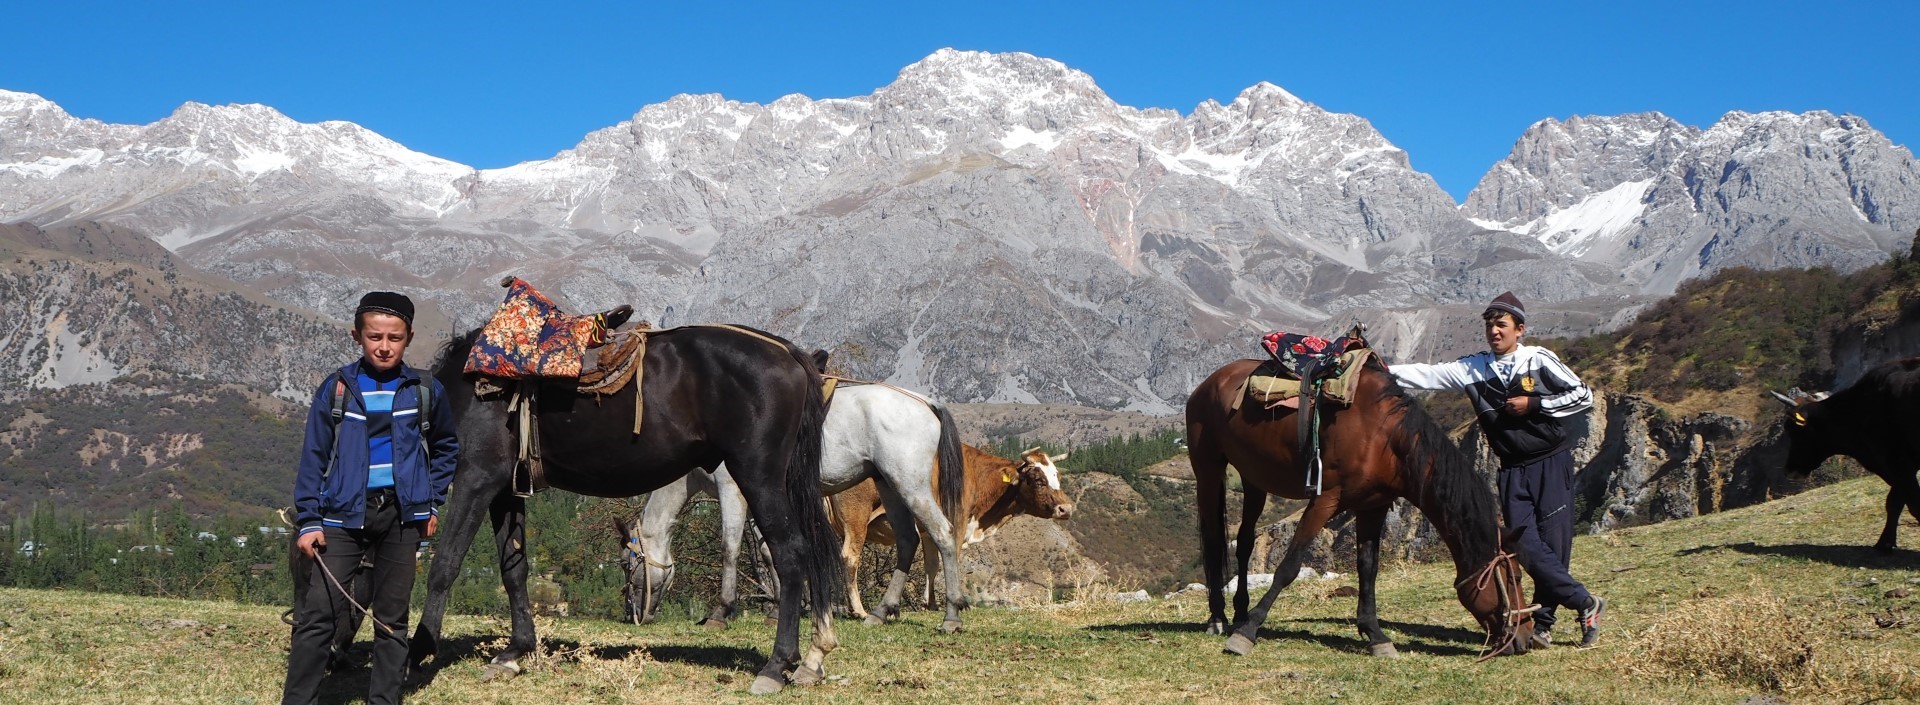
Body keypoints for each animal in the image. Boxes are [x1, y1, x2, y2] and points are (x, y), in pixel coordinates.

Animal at [412, 324, 840, 695]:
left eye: (625, 564)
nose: (634, 614)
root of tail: (786, 352)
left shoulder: (476, 478)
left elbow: (445, 564)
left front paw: (420, 648)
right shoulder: (507, 490)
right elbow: (514, 570)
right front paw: (515, 651)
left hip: (758, 476)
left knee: (790, 553)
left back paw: (777, 665)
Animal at [622, 384, 975, 633]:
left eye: (628, 564)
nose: (633, 613)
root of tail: (924, 402)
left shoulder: (731, 491)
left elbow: (730, 548)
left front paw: (722, 611)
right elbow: (769, 553)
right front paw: (780, 608)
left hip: (910, 486)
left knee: (943, 534)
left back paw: (951, 615)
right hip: (889, 485)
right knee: (907, 542)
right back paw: (881, 611)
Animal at [829, 447, 1075, 622]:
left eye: (1057, 476)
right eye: (1038, 479)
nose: (1066, 509)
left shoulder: (928, 531)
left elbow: (932, 566)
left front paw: (930, 604)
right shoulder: (957, 525)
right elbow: (952, 560)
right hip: (856, 519)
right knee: (850, 558)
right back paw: (858, 610)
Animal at [1175, 359, 1536, 660]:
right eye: (1515, 577)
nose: (1525, 637)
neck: (1385, 438)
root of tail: (1208, 383)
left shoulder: (1373, 506)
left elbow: (1368, 569)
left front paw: (1375, 635)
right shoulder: (1325, 499)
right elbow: (1290, 566)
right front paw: (1248, 634)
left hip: (1254, 480)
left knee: (1246, 542)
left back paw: (1238, 613)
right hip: (1208, 470)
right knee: (1213, 541)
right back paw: (1219, 619)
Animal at [1774, 359, 1920, 553]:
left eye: (1792, 430)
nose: (1789, 470)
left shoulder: (1895, 461)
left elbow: (1912, 504)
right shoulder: (1901, 466)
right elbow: (1895, 502)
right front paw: (1885, 544)